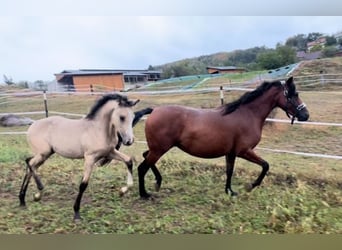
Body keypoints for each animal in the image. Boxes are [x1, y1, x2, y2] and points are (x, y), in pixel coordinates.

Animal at [137, 77, 310, 198]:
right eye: (293, 95)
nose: (305, 115)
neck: (247, 114)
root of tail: (154, 111)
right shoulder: (244, 151)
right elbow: (265, 165)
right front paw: (251, 186)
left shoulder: (231, 153)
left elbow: (229, 171)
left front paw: (229, 191)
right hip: (159, 149)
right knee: (142, 167)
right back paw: (145, 194)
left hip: (157, 148)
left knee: (145, 156)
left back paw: (158, 182)